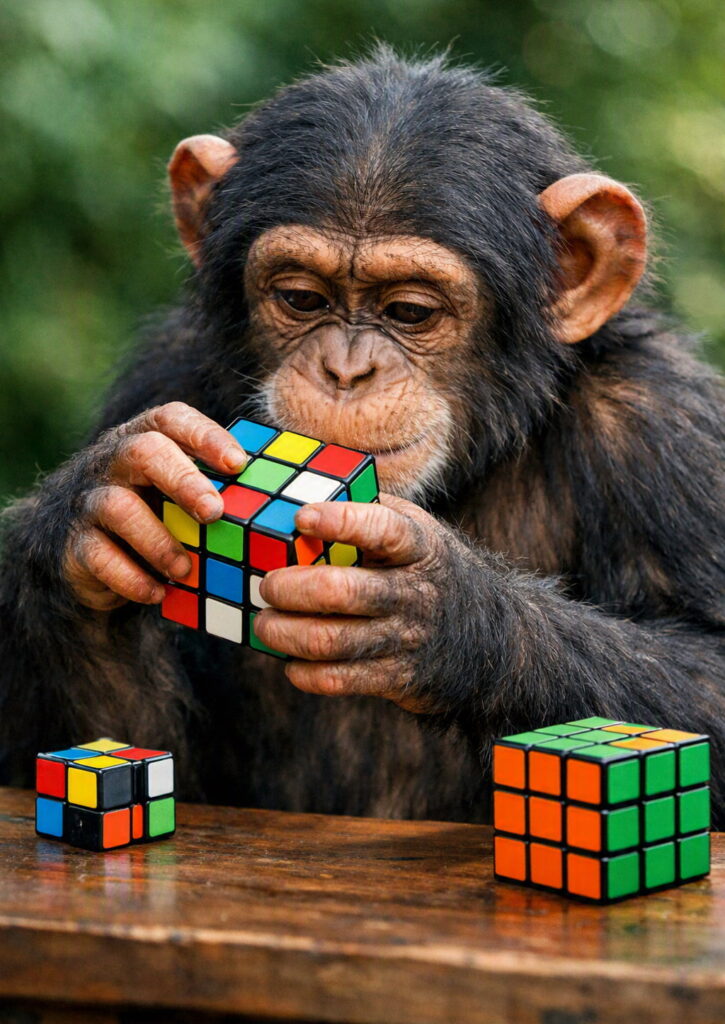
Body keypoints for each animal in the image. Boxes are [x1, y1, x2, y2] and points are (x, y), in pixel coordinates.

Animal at [0, 47, 723, 825]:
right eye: (300, 298)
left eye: (409, 311)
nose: (346, 370)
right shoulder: (158, 377)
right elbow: (128, 752)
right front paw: (94, 516)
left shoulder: (661, 430)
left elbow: (710, 674)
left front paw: (437, 611)